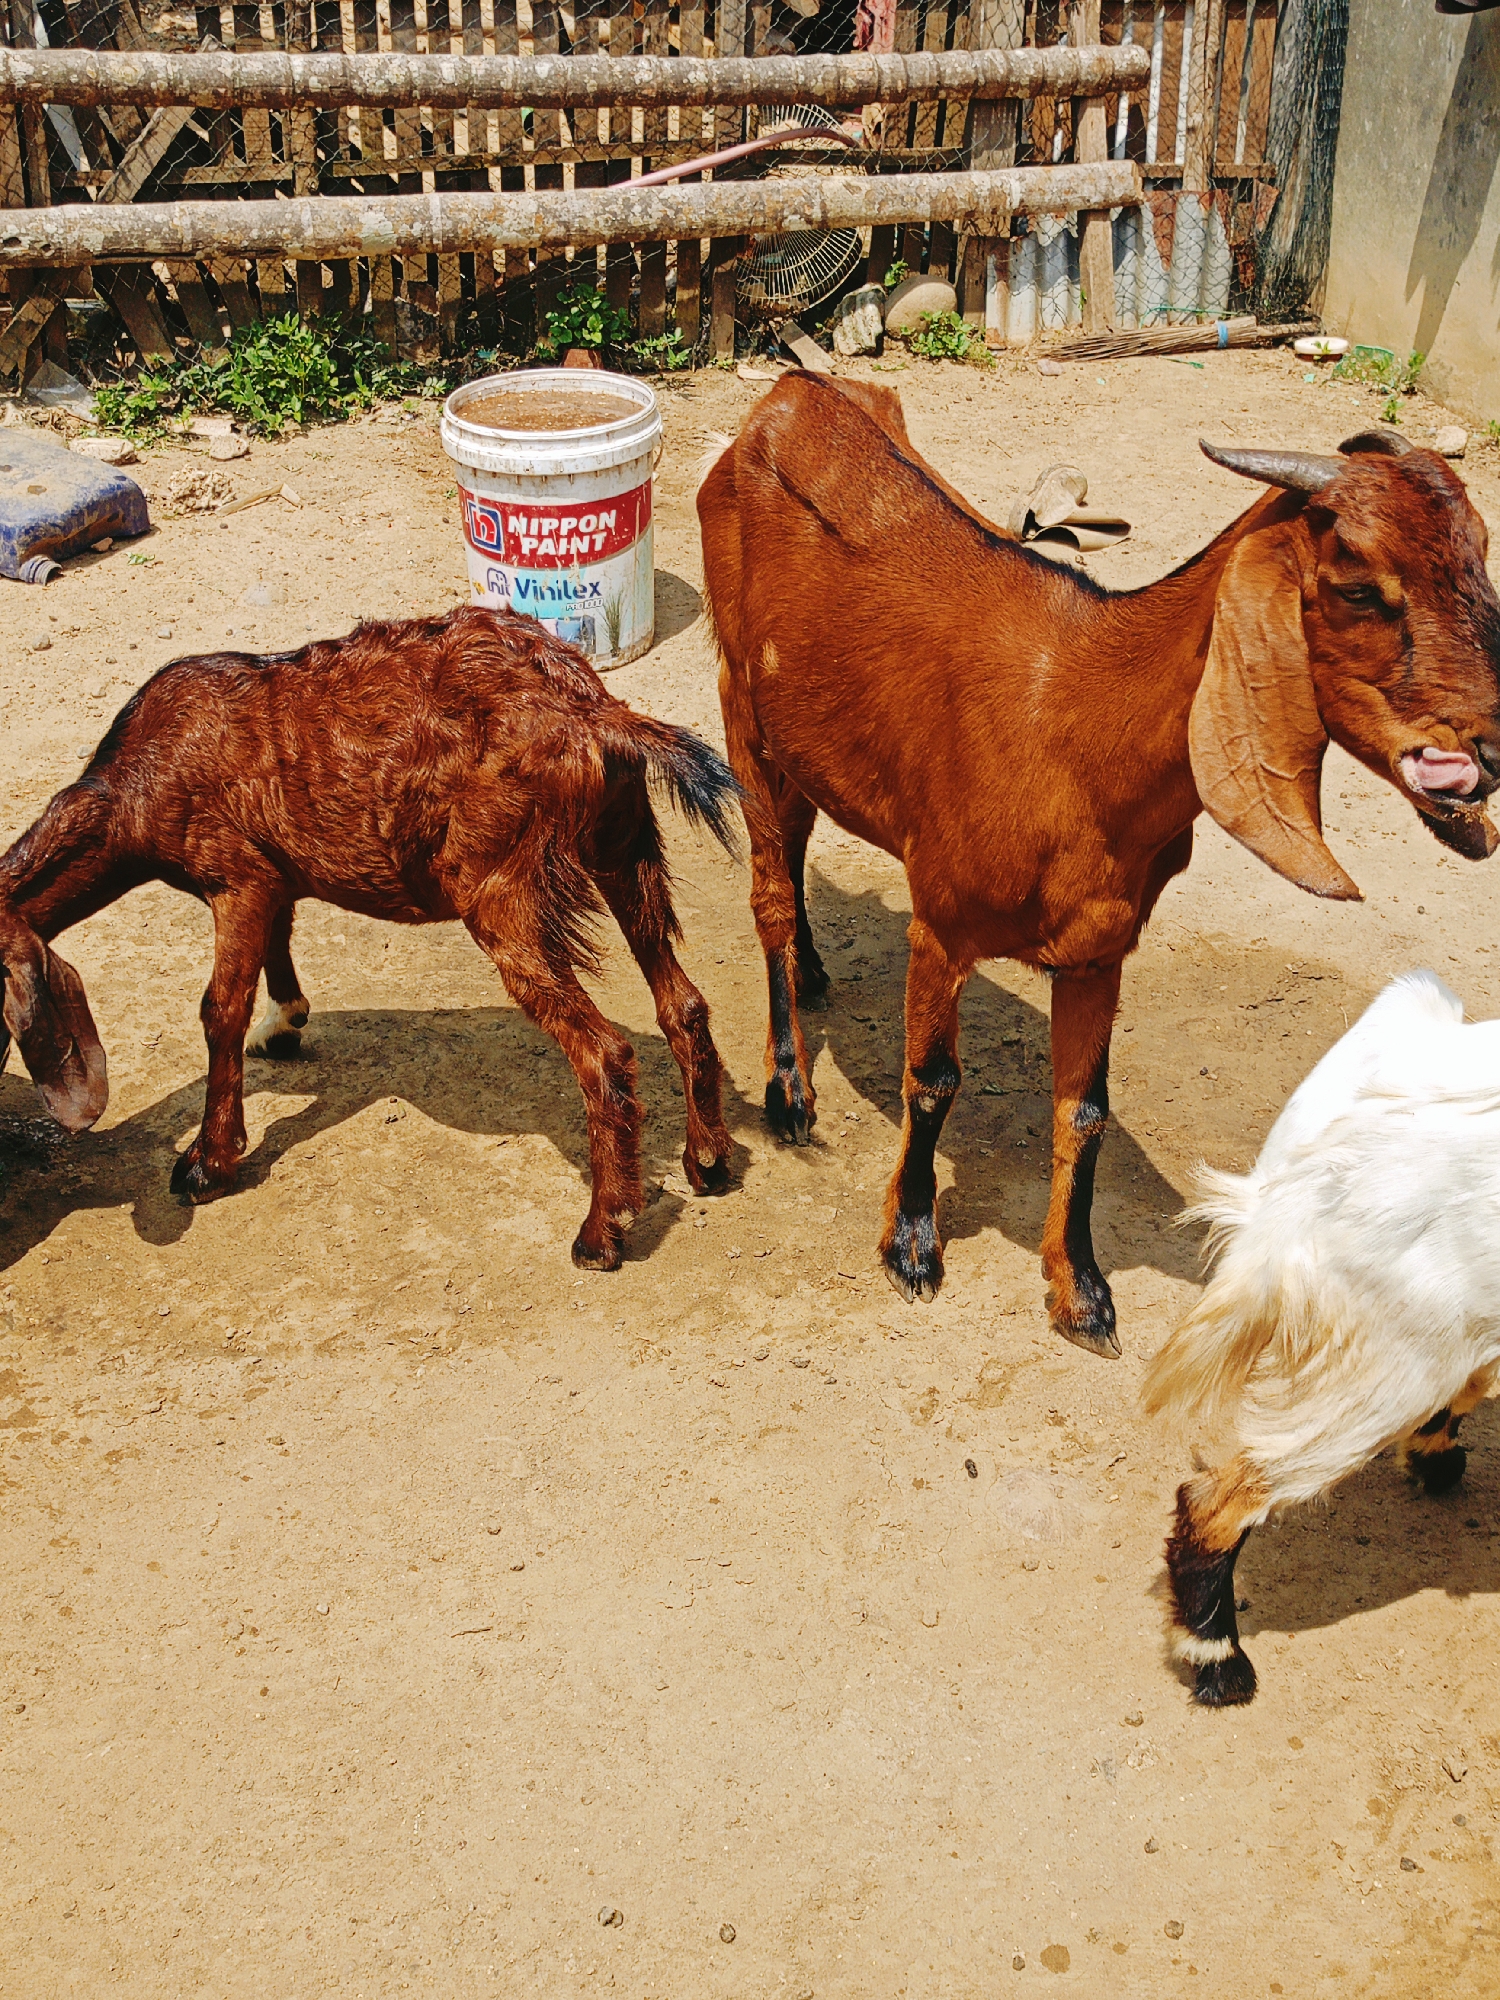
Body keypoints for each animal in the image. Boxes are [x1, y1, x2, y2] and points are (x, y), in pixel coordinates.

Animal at [0, 605, 737, 1270]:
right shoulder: (275, 877)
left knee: (604, 1051)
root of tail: (592, 710)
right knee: (683, 1003)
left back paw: (601, 1232)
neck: (134, 782)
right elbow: (277, 949)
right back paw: (707, 1159)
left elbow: (220, 1010)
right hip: (623, 845)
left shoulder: (235, 877)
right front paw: (286, 1024)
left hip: (504, 890)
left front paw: (207, 1163)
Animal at [698, 376, 1500, 1359]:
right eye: (1359, 588)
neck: (1073, 724)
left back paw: (813, 972)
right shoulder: (941, 921)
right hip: (741, 699)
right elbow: (933, 1082)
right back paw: (789, 1092)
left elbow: (1084, 1112)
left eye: (1483, 558)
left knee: (801, 832)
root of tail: (789, 389)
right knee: (769, 886)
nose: (1489, 752)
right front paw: (913, 1245)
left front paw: (1079, 1292)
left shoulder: (1099, 948)